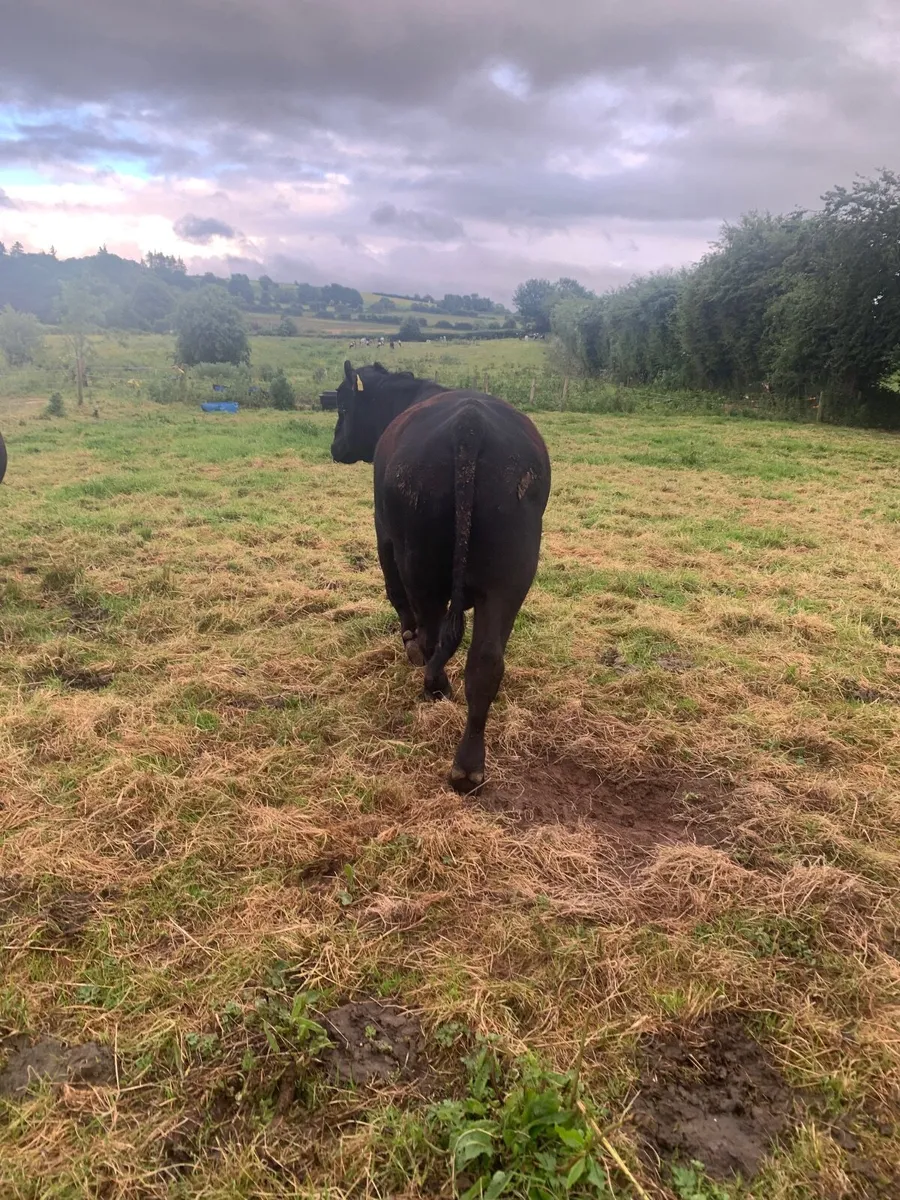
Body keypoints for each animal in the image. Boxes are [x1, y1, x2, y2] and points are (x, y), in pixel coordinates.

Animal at [328, 361, 551, 793]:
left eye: (343, 408)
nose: (335, 447)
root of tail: (469, 423)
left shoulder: (384, 535)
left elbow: (397, 597)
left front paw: (409, 641)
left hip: (419, 563)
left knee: (430, 627)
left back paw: (434, 683)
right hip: (510, 580)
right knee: (485, 661)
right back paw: (469, 763)